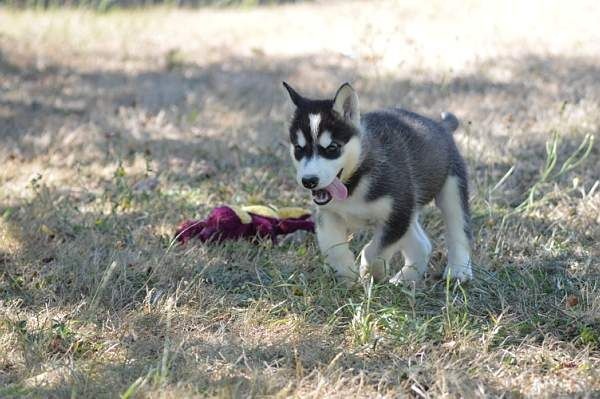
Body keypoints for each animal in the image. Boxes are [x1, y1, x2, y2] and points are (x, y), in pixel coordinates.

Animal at [284, 82, 472, 288]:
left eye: (332, 148)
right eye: (299, 149)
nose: (309, 181)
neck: (354, 183)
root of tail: (440, 125)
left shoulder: (396, 215)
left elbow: (374, 252)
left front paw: (371, 273)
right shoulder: (330, 214)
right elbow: (332, 247)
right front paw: (345, 273)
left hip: (451, 189)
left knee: (459, 231)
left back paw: (459, 271)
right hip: (410, 207)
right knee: (423, 245)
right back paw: (404, 279)